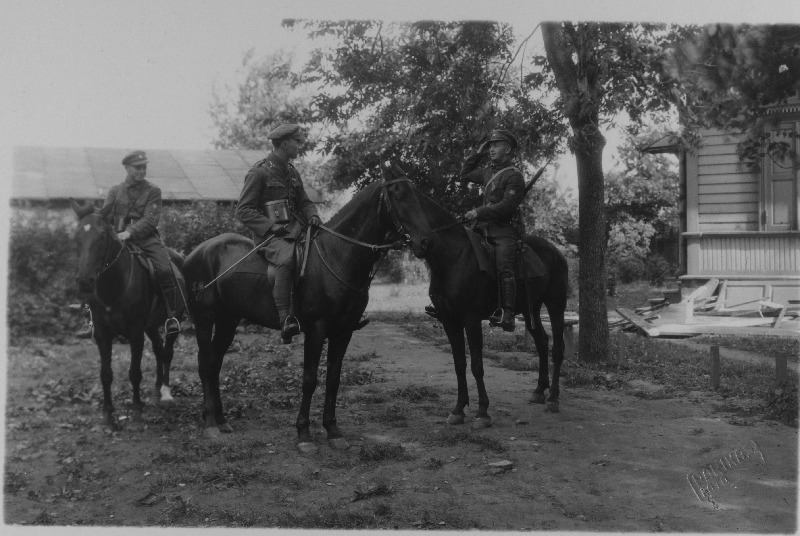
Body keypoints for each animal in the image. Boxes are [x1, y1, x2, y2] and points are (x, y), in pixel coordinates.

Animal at [69, 201, 187, 432]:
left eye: (103, 236)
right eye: (77, 236)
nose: (85, 281)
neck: (116, 285)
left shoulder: (135, 334)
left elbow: (135, 373)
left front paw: (136, 414)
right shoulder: (103, 335)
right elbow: (106, 374)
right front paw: (108, 417)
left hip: (170, 323)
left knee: (167, 352)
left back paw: (166, 393)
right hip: (150, 326)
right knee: (158, 350)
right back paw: (156, 391)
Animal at [182, 164, 432, 452]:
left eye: (416, 193)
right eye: (399, 194)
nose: (425, 242)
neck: (336, 255)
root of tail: (195, 252)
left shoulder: (344, 331)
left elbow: (333, 378)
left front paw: (333, 430)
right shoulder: (316, 329)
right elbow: (310, 379)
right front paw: (303, 433)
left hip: (228, 320)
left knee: (214, 363)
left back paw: (221, 420)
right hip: (204, 319)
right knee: (204, 363)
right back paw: (210, 423)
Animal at [406, 191, 568, 426]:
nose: (420, 245)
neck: (454, 256)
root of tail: (556, 252)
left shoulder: (471, 319)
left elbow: (476, 365)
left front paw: (482, 412)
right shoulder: (449, 320)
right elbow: (459, 364)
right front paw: (458, 410)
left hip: (556, 304)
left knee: (557, 347)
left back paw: (553, 398)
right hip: (531, 308)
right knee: (542, 341)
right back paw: (539, 390)